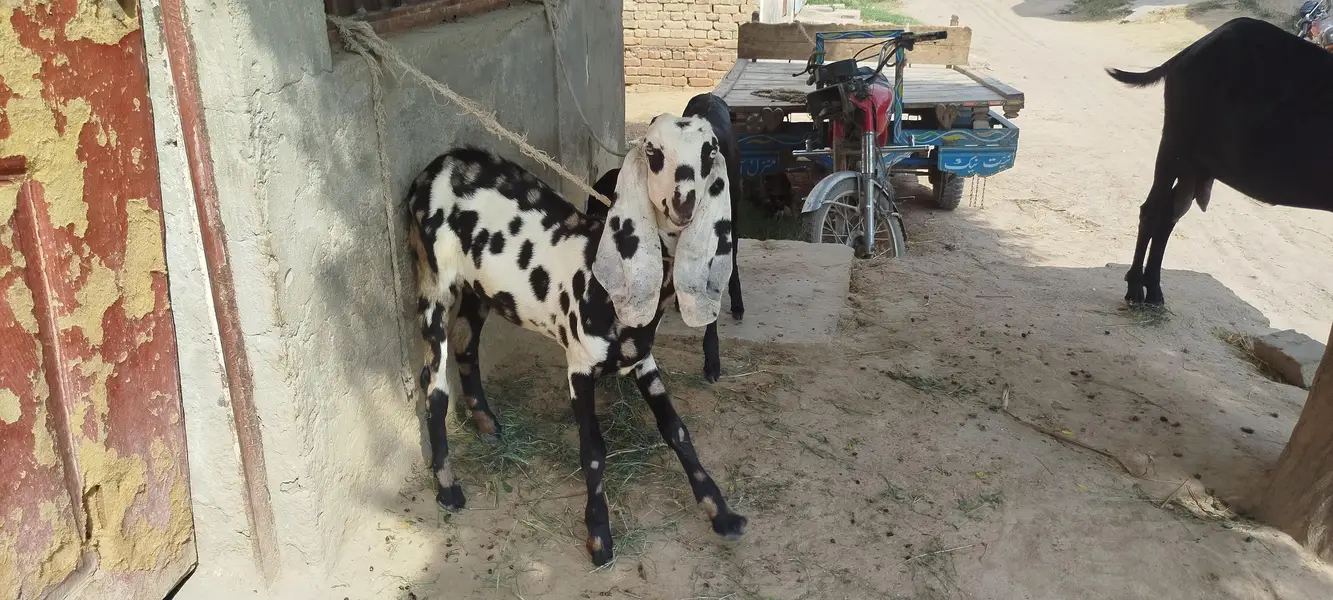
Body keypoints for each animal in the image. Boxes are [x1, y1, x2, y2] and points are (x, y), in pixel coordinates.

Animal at [1107, 17, 1333, 306]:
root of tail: (1189, 52)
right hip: (1174, 147)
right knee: (1152, 211)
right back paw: (1136, 286)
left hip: (1194, 166)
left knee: (1170, 213)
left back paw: (1154, 290)